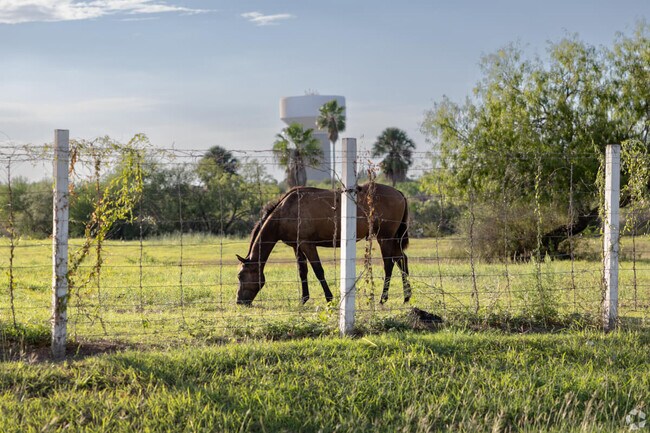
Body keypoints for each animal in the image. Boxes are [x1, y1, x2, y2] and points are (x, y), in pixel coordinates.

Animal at [236, 183, 411, 305]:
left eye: (240, 276)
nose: (239, 301)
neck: (286, 211)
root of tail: (400, 194)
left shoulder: (308, 245)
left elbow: (318, 271)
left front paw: (329, 298)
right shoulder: (297, 246)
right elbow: (303, 272)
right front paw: (304, 299)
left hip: (384, 238)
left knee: (389, 264)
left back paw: (383, 298)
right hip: (393, 239)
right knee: (401, 259)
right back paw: (407, 296)